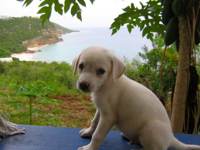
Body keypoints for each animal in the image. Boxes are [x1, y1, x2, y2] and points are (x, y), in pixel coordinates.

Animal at [72, 46, 200, 150]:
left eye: (101, 71)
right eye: (81, 66)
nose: (83, 85)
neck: (106, 84)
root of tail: (171, 138)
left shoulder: (108, 116)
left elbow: (97, 135)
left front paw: (89, 148)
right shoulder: (101, 109)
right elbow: (94, 122)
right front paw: (88, 132)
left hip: (151, 129)